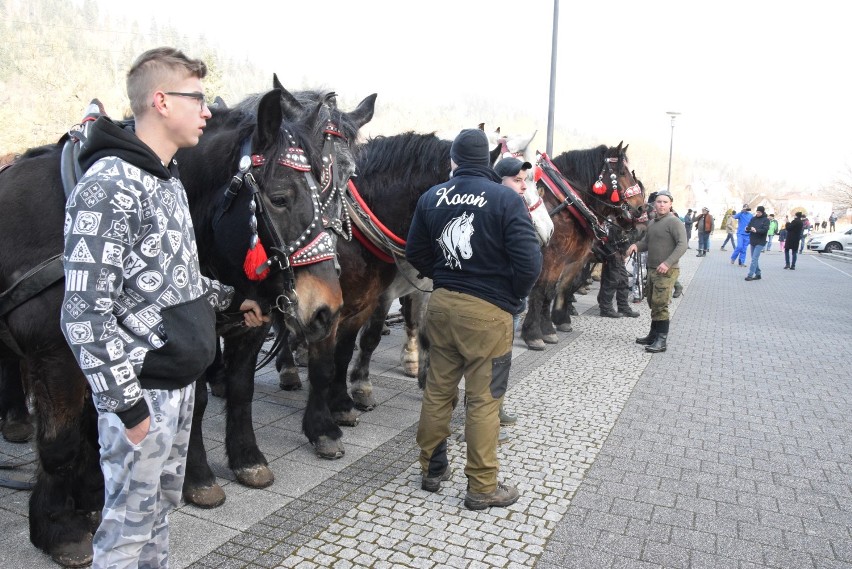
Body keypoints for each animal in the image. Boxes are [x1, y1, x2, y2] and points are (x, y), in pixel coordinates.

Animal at [0, 86, 372, 564]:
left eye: (345, 178)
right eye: (280, 196)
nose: (327, 308)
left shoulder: (240, 324)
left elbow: (238, 391)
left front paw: (247, 458)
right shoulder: (61, 355)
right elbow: (65, 438)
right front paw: (61, 525)